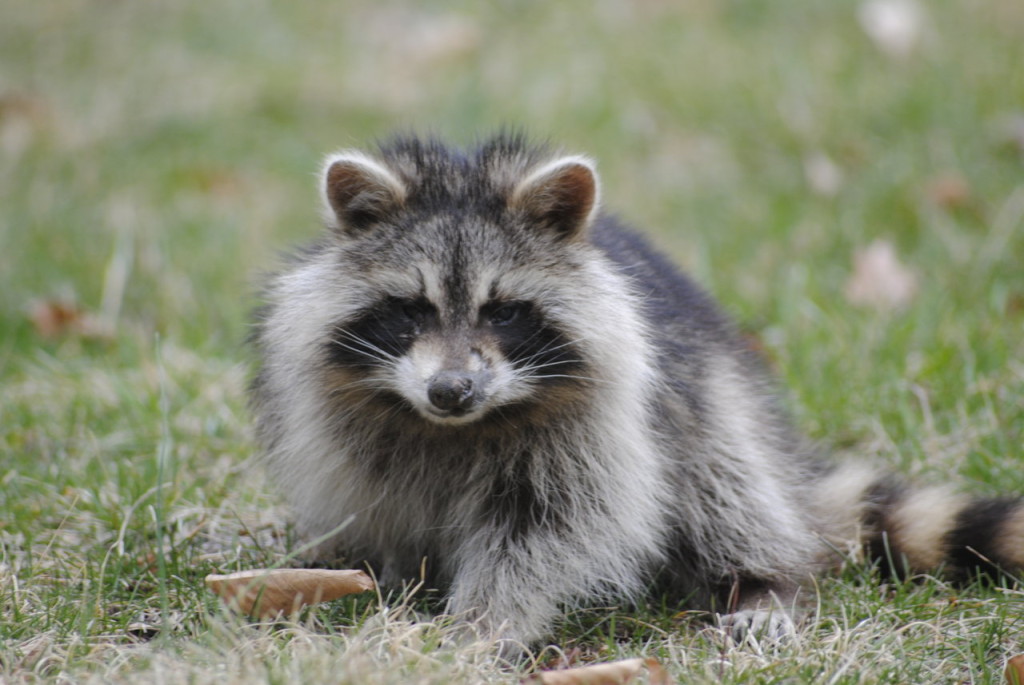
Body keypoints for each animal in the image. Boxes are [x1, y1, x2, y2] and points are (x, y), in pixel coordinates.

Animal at [249, 132, 1024, 647]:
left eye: (503, 312)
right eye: (411, 309)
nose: (451, 390)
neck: (459, 428)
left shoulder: (596, 425)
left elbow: (550, 528)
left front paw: (481, 626)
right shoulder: (351, 415)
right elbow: (382, 498)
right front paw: (402, 584)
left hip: (710, 392)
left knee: (725, 484)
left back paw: (764, 581)